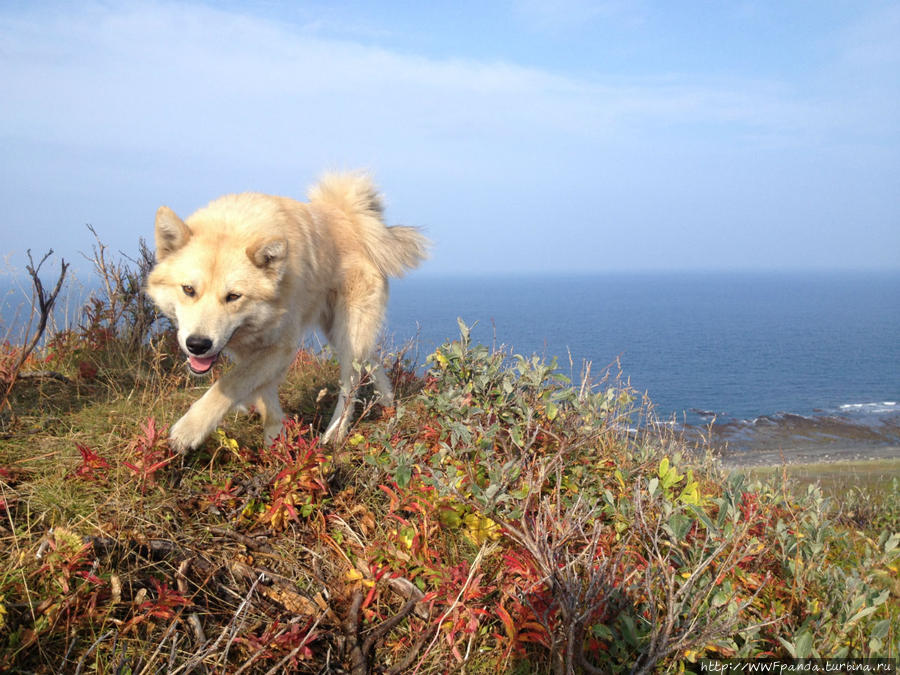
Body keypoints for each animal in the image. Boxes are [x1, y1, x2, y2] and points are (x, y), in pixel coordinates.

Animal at [145, 173, 428, 454]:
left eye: (233, 296)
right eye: (188, 289)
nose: (197, 345)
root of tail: (351, 217)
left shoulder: (281, 346)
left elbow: (230, 383)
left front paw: (188, 430)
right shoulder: (253, 349)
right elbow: (263, 393)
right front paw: (276, 441)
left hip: (348, 332)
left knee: (351, 382)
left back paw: (335, 433)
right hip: (338, 331)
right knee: (371, 358)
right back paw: (388, 404)